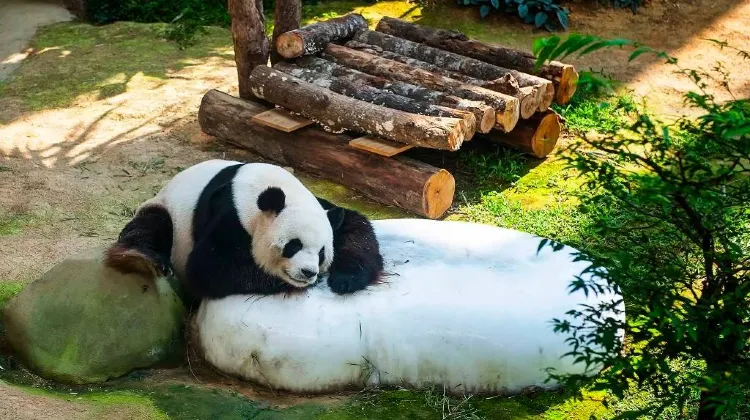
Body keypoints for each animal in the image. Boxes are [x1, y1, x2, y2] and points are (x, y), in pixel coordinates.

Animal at [104, 159, 383, 301]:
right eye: (293, 245)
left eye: (322, 252)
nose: (308, 272)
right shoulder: (231, 212)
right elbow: (210, 267)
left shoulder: (320, 205)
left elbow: (354, 225)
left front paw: (346, 279)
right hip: (164, 207)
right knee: (152, 225)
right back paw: (140, 258)